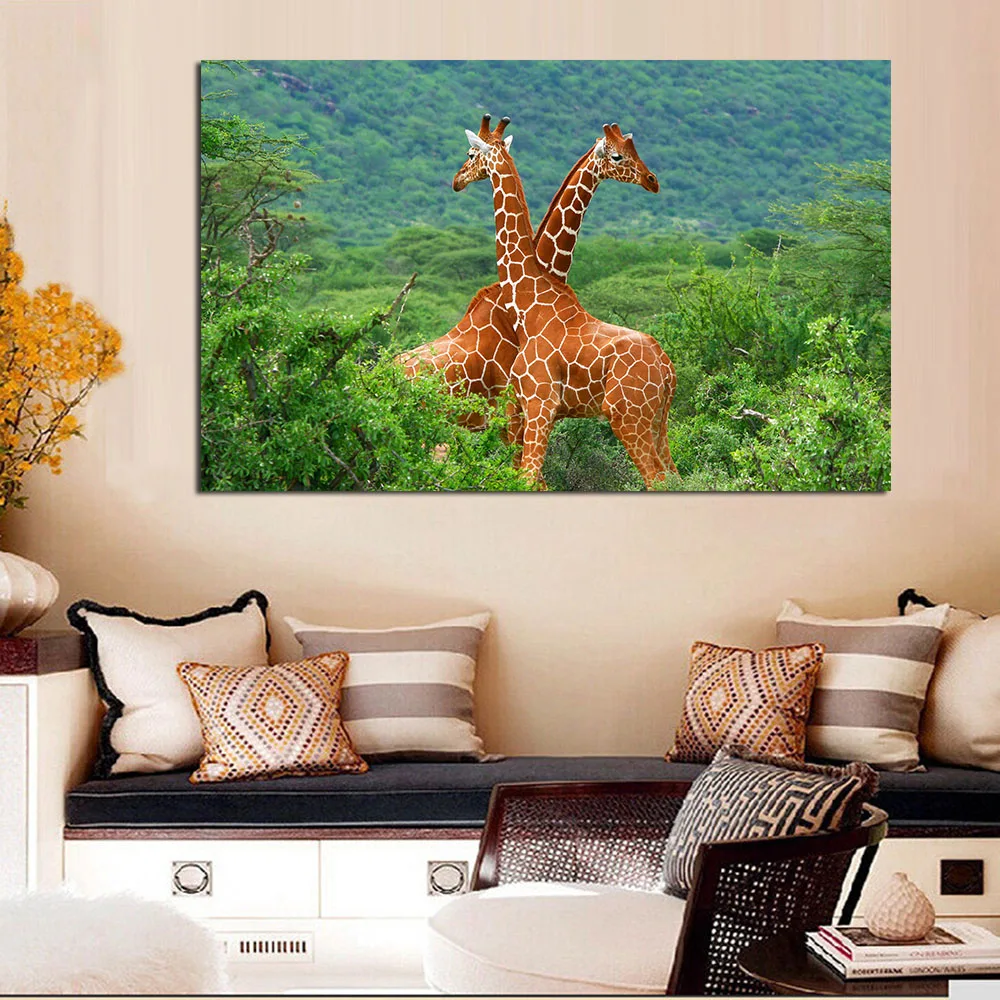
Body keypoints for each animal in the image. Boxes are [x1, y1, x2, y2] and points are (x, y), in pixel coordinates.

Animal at [453, 115, 678, 489]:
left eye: (471, 154)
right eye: (619, 155)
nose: (456, 180)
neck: (528, 303)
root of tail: (668, 369)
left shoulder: (538, 402)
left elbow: (528, 479)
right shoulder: (528, 408)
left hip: (628, 416)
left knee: (657, 479)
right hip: (658, 421)